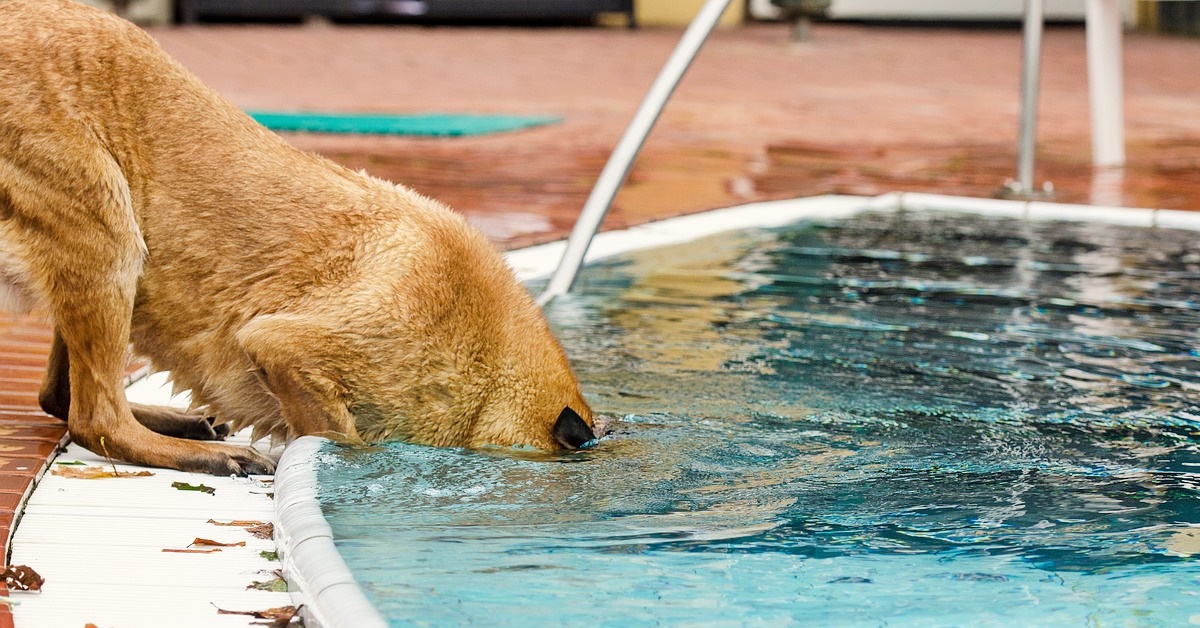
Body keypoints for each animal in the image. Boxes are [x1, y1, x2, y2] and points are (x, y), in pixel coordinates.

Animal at [0, 0, 597, 475]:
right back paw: (207, 454)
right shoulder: (285, 346)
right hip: (110, 234)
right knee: (94, 417)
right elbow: (341, 437)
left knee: (60, 397)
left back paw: (183, 423)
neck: (491, 363)